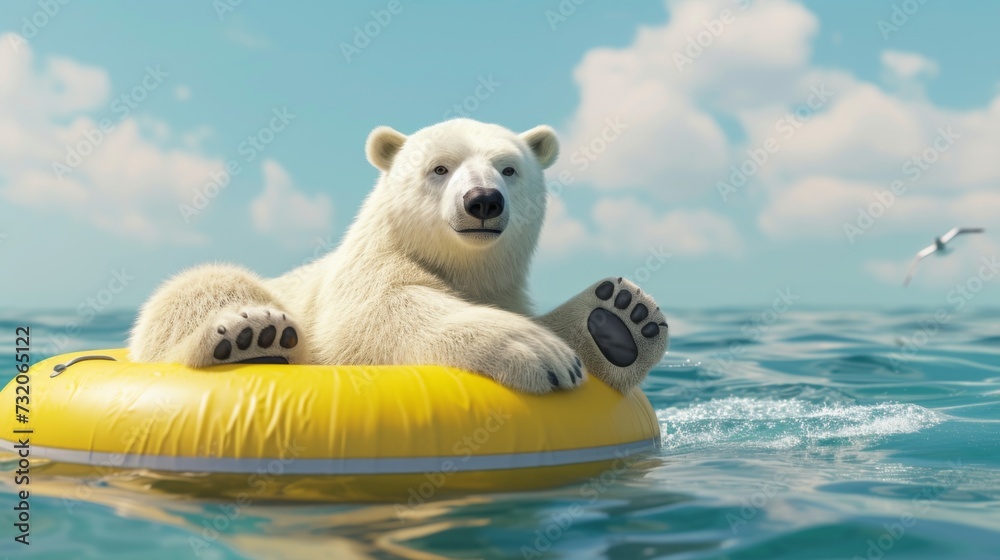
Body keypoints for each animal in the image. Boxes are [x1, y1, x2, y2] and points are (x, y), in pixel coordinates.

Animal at [129, 119, 668, 394]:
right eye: (440, 168)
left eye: (509, 168)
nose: (483, 201)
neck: (465, 266)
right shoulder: (366, 271)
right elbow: (380, 312)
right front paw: (538, 352)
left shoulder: (507, 288)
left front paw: (619, 319)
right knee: (199, 287)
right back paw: (252, 338)